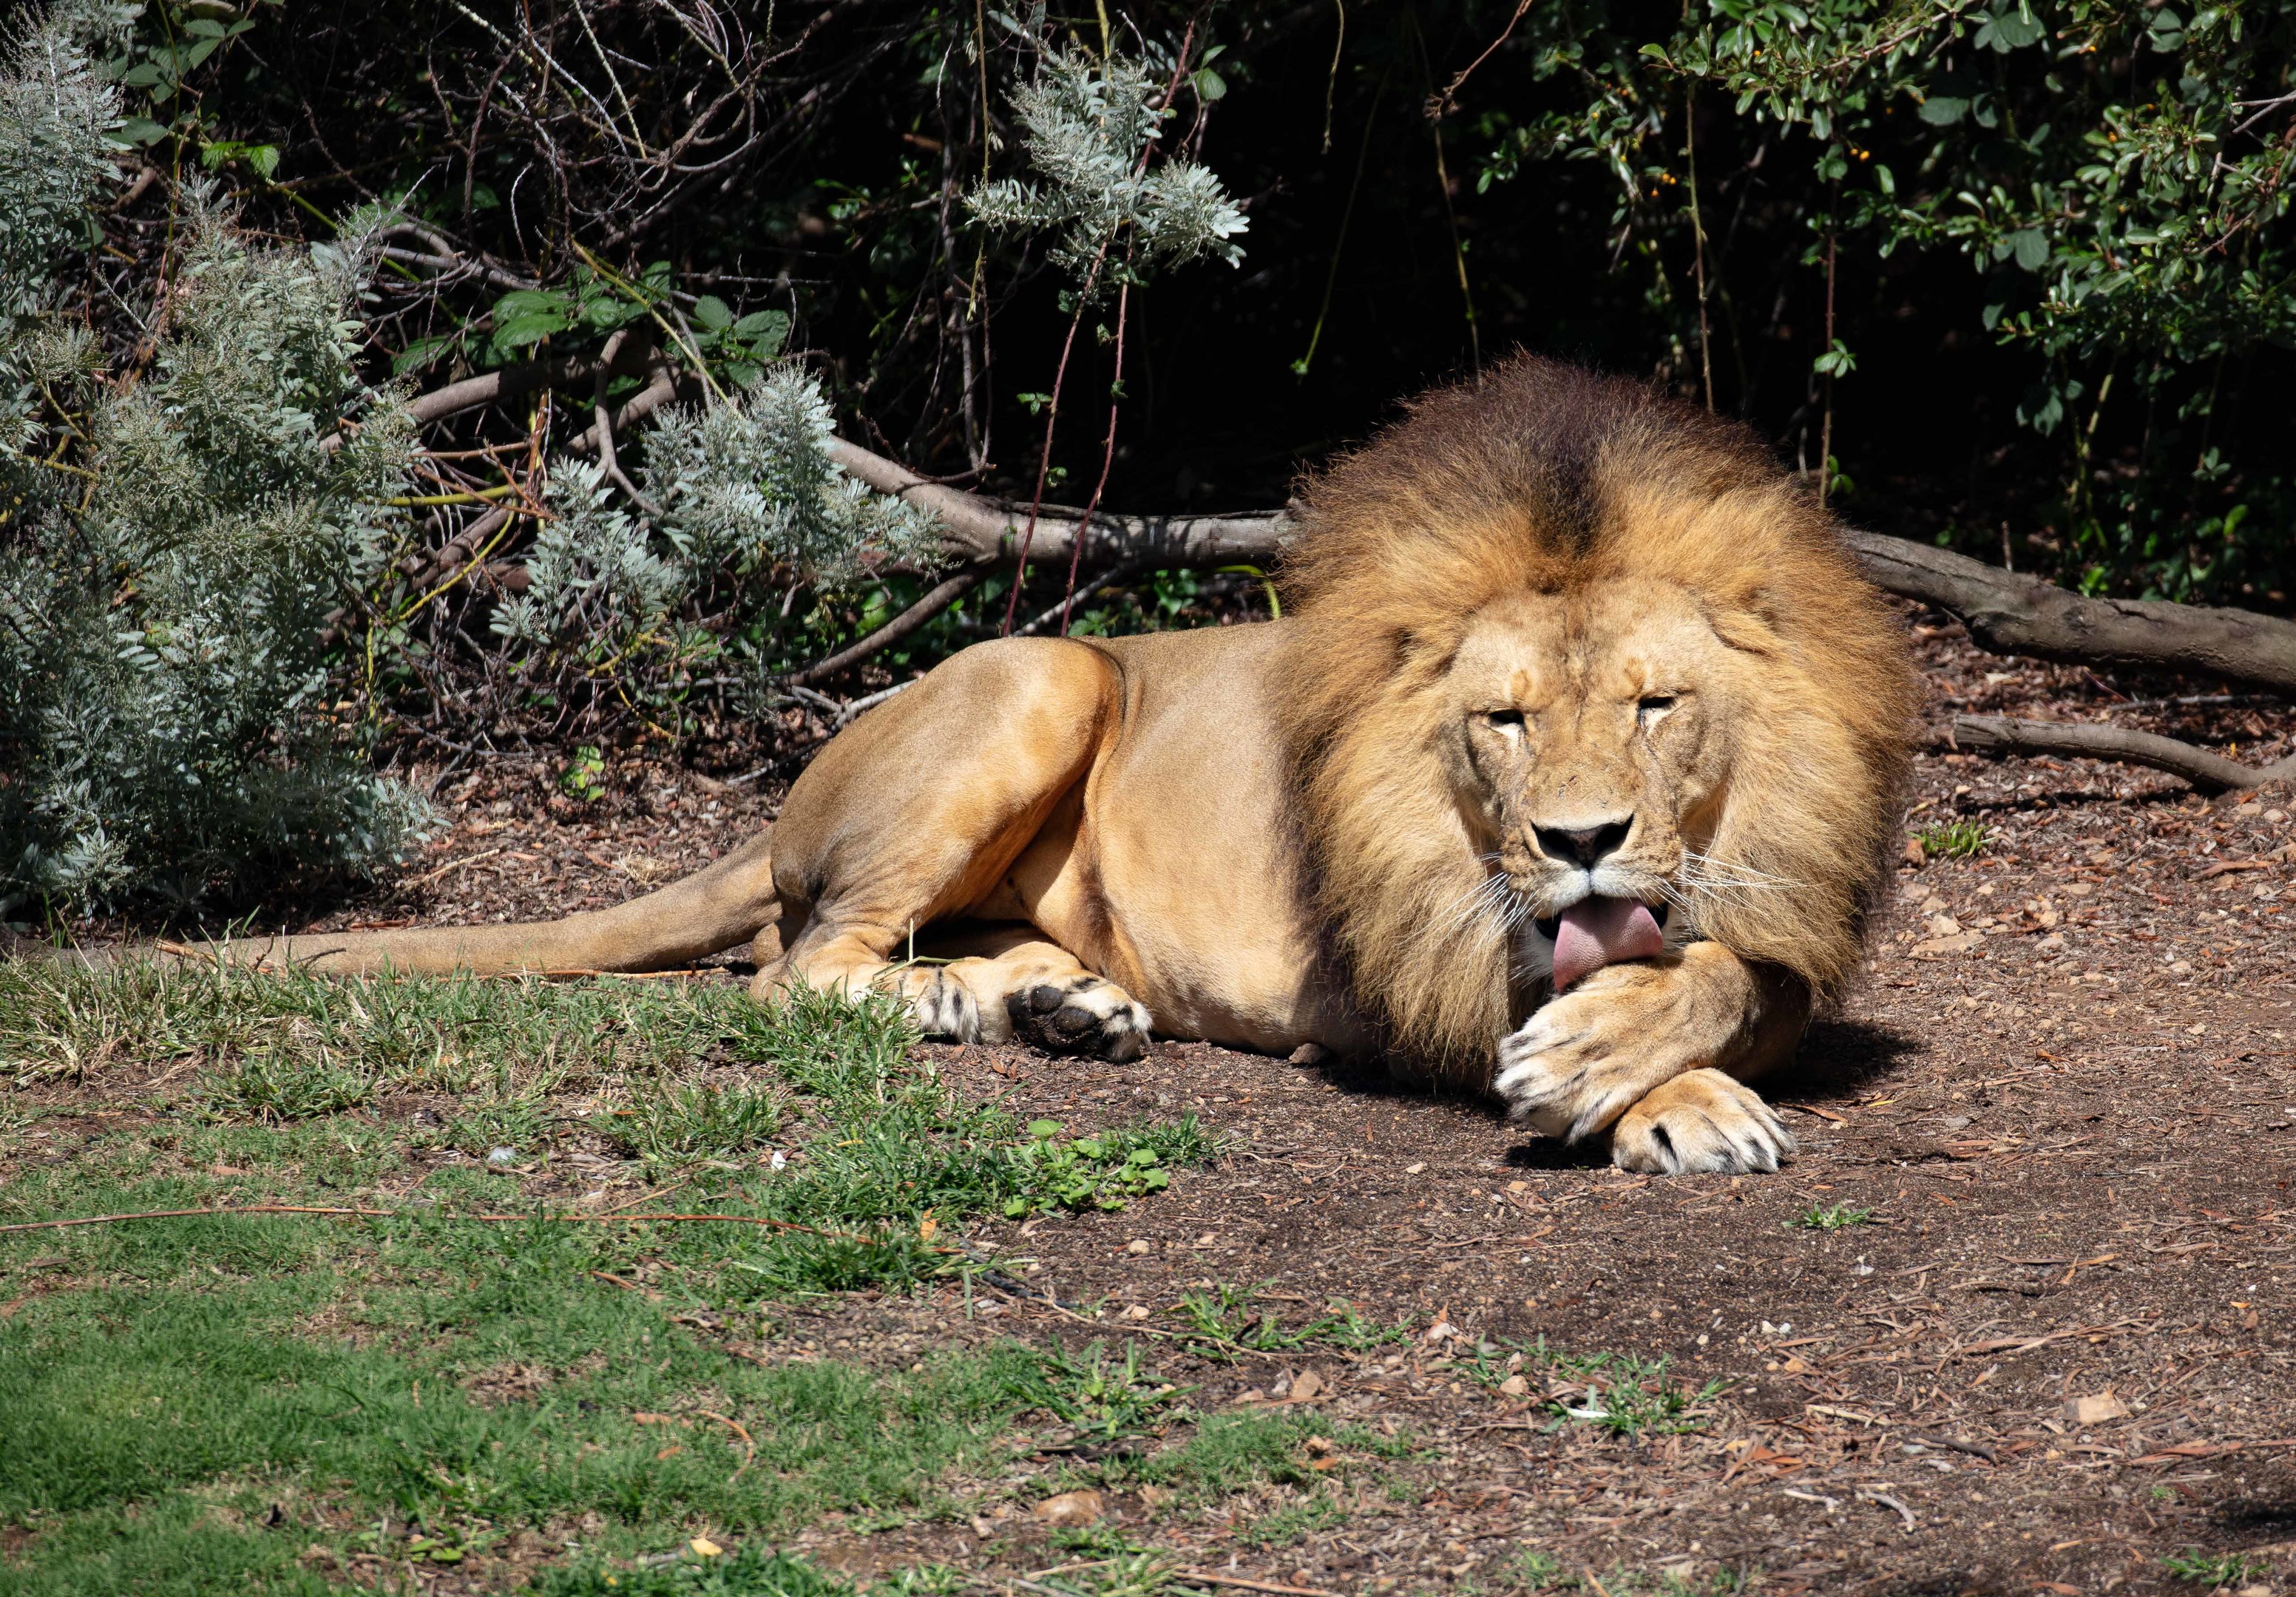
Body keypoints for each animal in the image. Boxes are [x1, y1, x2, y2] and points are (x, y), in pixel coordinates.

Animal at [196, 357, 1915, 1174]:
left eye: (1654, 704)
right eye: (1500, 723)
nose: (1579, 842)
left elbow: (1725, 971)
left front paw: (1646, 1054)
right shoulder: (1409, 950)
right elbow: (1594, 992)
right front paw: (1644, 1090)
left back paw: (1057, 1005)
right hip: (1045, 672)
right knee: (796, 967)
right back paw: (961, 1005)